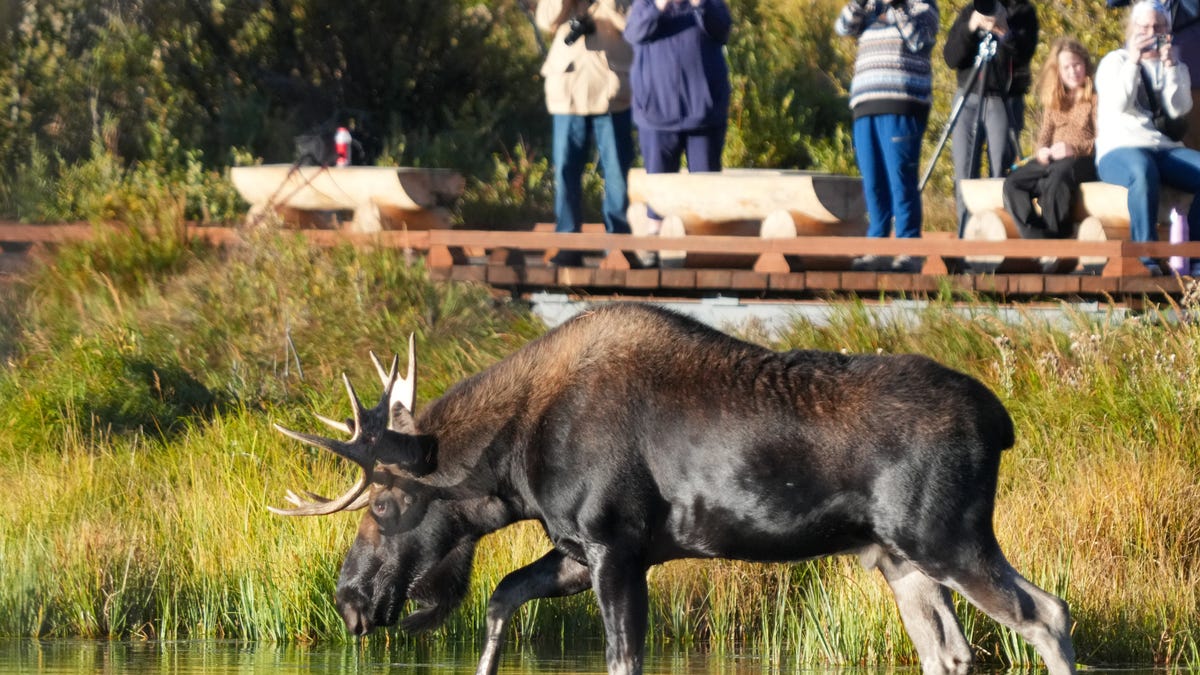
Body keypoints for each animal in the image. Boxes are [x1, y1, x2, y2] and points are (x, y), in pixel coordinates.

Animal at [270, 302, 1075, 675]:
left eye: (383, 504)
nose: (348, 600)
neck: (511, 468)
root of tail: (1002, 422)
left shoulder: (614, 545)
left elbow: (621, 656)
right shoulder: (578, 549)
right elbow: (501, 597)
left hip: (948, 537)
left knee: (1048, 613)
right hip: (898, 557)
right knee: (952, 652)